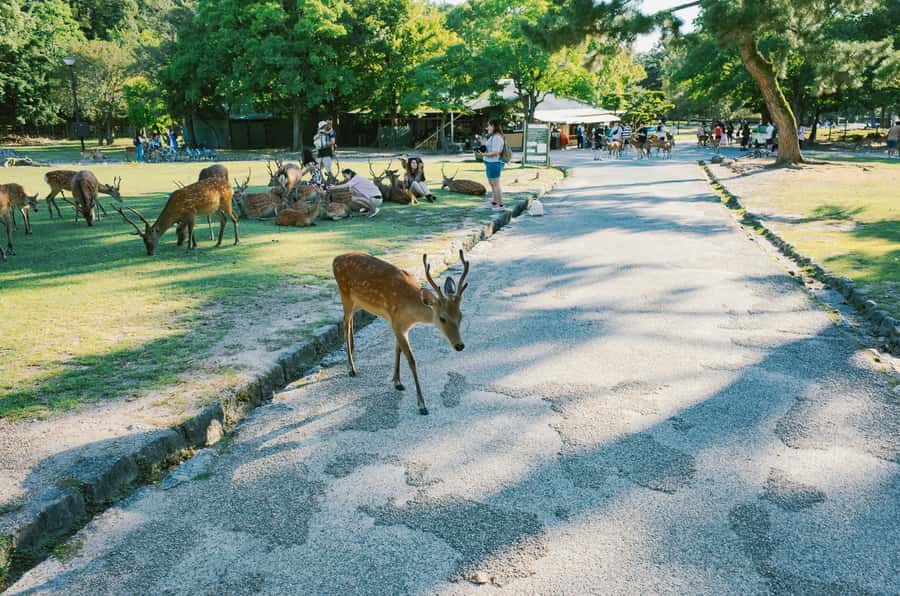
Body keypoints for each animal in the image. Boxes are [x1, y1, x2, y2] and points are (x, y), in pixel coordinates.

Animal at [333, 250, 470, 415]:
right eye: (442, 318)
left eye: (461, 316)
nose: (459, 345)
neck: (411, 311)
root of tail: (335, 259)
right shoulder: (397, 324)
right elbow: (411, 360)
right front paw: (422, 405)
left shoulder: (401, 326)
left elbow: (397, 350)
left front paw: (397, 382)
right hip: (345, 294)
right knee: (345, 324)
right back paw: (351, 368)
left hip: (357, 302)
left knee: (349, 320)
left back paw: (353, 353)